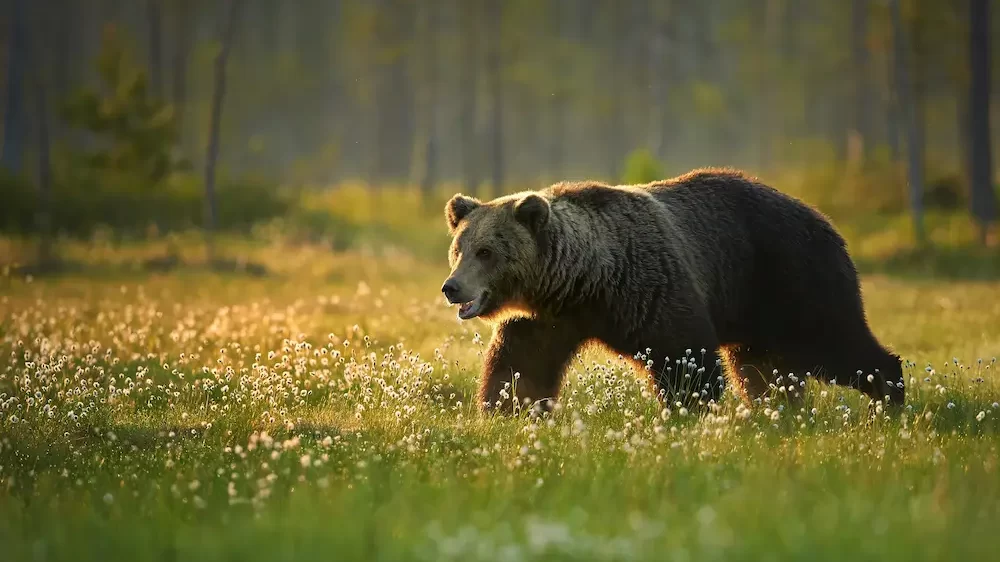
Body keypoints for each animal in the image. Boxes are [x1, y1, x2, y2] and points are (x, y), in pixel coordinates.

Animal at [442, 166, 904, 412]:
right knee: (761, 369)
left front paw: (689, 410)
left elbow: (683, 355)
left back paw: (888, 398)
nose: (452, 287)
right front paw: (508, 408)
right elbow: (521, 364)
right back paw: (777, 410)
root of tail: (825, 219)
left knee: (834, 341)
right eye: (459, 249)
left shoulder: (649, 287)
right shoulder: (546, 318)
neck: (584, 281)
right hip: (757, 312)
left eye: (486, 251)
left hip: (791, 277)